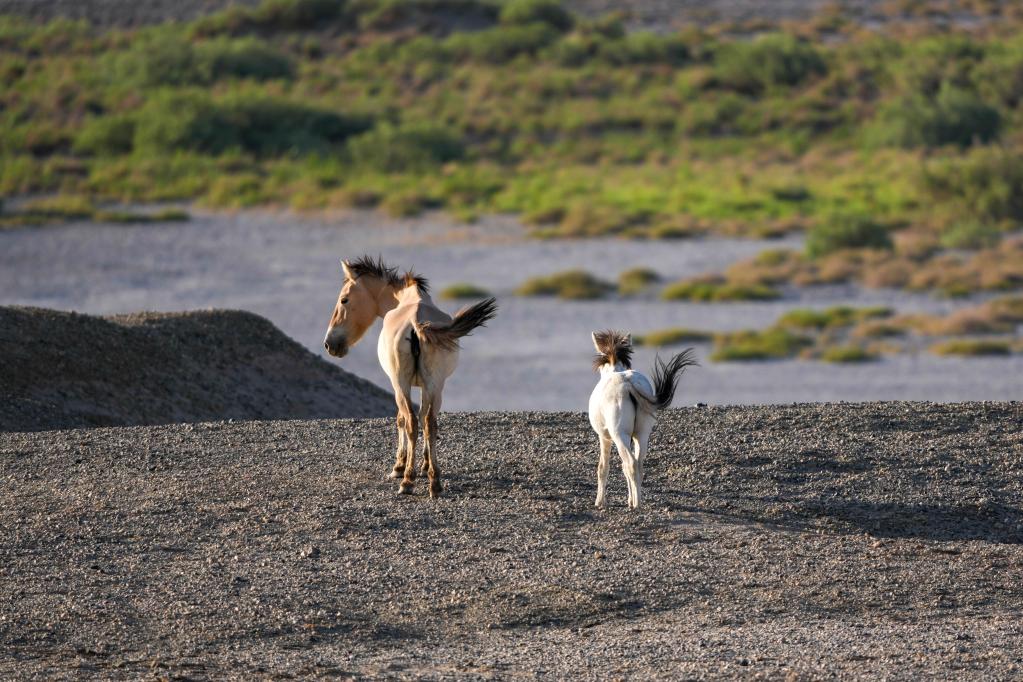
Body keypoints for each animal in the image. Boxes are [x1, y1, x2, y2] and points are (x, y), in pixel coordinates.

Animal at [323, 256, 497, 498]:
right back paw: (435, 482)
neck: (406, 298)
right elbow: (424, 417)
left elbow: (401, 419)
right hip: (436, 386)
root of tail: (416, 324)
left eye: (344, 300)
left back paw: (407, 480)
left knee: (412, 422)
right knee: (429, 423)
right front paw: (425, 466)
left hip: (402, 384)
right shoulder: (426, 387)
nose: (330, 344)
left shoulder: (397, 385)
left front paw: (399, 466)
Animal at [588, 330, 696, 509]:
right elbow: (623, 468)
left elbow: (603, 467)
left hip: (620, 435)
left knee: (631, 464)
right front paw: (628, 498)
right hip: (642, 434)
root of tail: (628, 384)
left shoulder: (604, 437)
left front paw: (599, 502)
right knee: (638, 464)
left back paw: (637, 505)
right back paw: (636, 500)